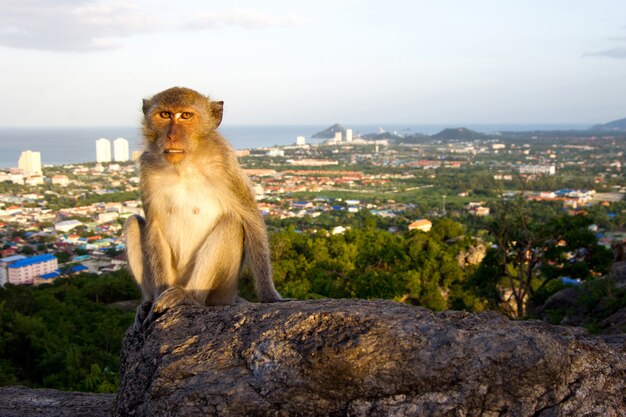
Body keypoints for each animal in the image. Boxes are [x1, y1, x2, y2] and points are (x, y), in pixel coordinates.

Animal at [124, 87, 286, 328]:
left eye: (185, 116)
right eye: (165, 115)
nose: (171, 135)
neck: (184, 166)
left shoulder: (224, 164)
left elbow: (250, 217)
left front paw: (270, 296)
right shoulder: (147, 168)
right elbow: (154, 225)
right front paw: (155, 300)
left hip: (221, 292)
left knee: (231, 222)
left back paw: (189, 296)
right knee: (133, 223)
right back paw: (149, 301)